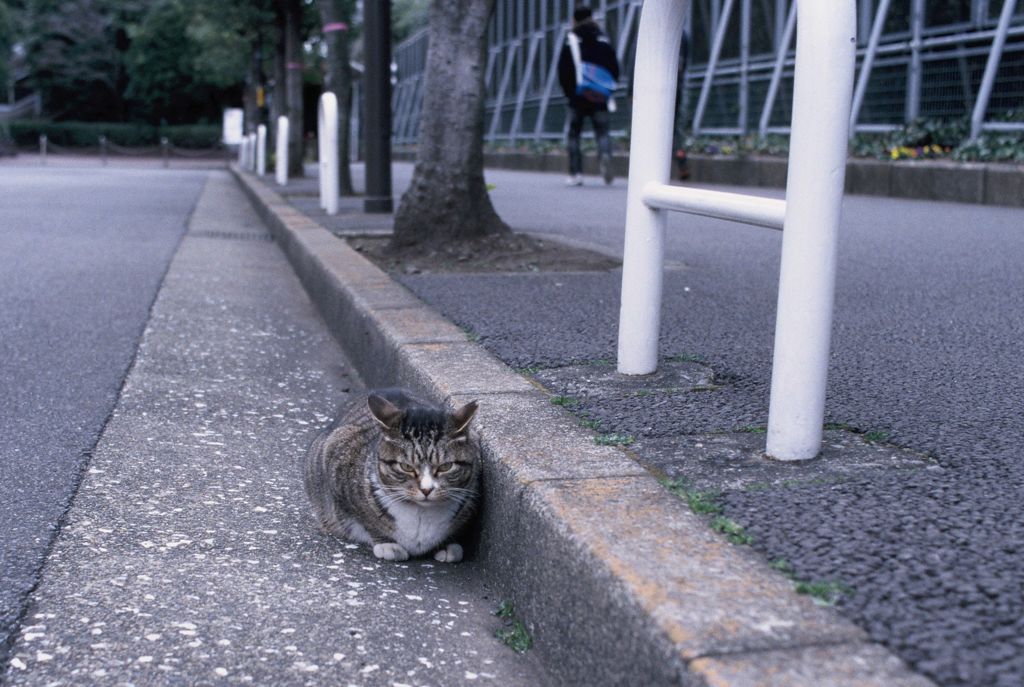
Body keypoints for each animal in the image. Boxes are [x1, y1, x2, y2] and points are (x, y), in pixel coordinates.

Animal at [301, 389, 481, 561]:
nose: (426, 489)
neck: (421, 512)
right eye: (406, 467)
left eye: (445, 466)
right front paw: (387, 544)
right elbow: (367, 521)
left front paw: (446, 545)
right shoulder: (336, 456)